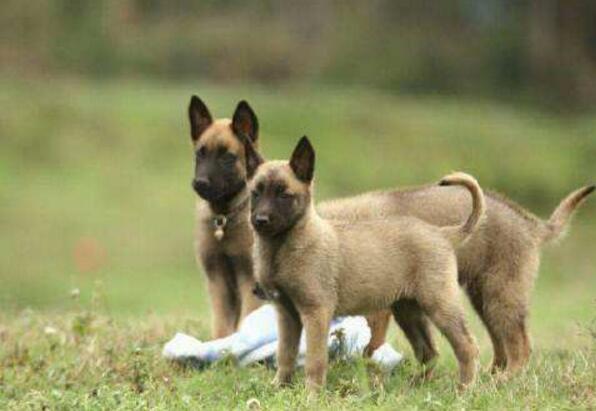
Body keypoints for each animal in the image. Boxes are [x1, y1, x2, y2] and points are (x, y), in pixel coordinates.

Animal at [247, 137, 484, 392]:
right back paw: (414, 386)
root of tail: (442, 233)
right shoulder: (287, 315)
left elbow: (315, 360)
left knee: (467, 346)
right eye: (255, 193)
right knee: (428, 351)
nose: (260, 220)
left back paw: (465, 389)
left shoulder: (316, 312)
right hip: (408, 311)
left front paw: (311, 393)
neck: (285, 246)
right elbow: (285, 354)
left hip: (439, 305)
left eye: (284, 195)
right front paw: (279, 386)